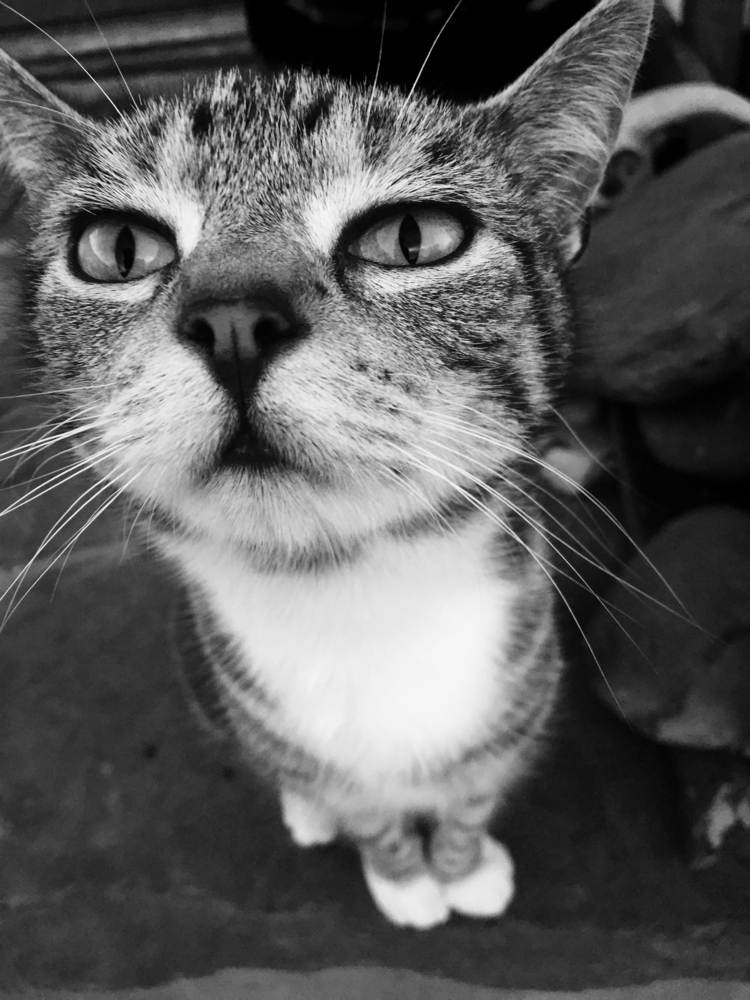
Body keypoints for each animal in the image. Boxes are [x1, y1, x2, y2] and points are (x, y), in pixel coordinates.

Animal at [0, 0, 652, 928]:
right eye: (119, 248)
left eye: (412, 238)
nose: (234, 321)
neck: (354, 595)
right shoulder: (282, 722)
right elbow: (367, 813)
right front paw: (404, 881)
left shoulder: (514, 701)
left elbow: (469, 796)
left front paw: (463, 867)